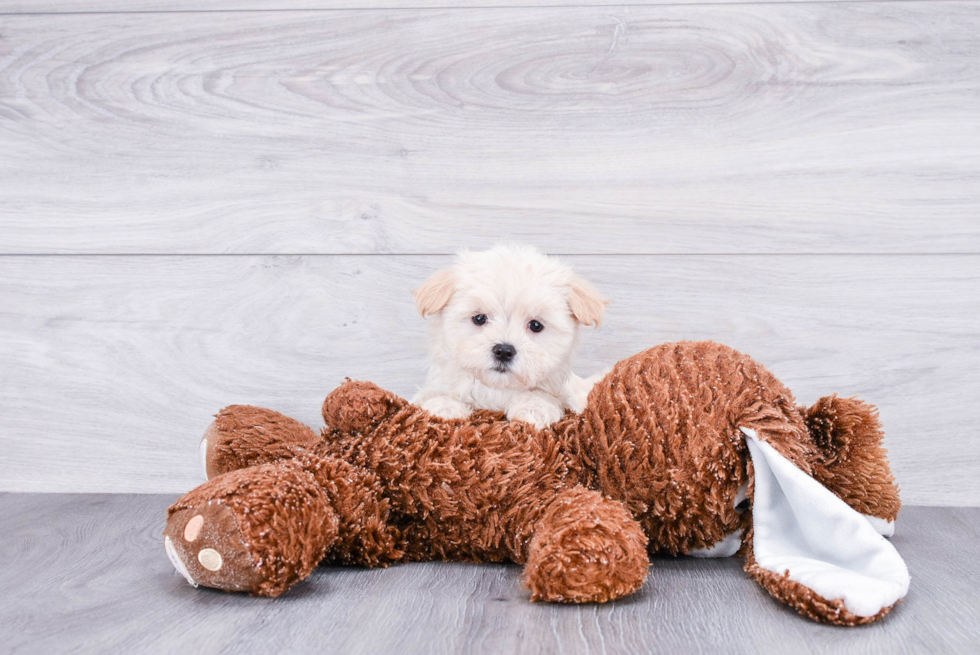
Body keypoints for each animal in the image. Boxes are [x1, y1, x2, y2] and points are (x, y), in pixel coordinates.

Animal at [410, 243, 608, 428]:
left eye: (535, 325)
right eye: (479, 318)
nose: (504, 351)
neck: (497, 389)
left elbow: (541, 396)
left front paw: (532, 409)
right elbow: (436, 396)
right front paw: (444, 410)